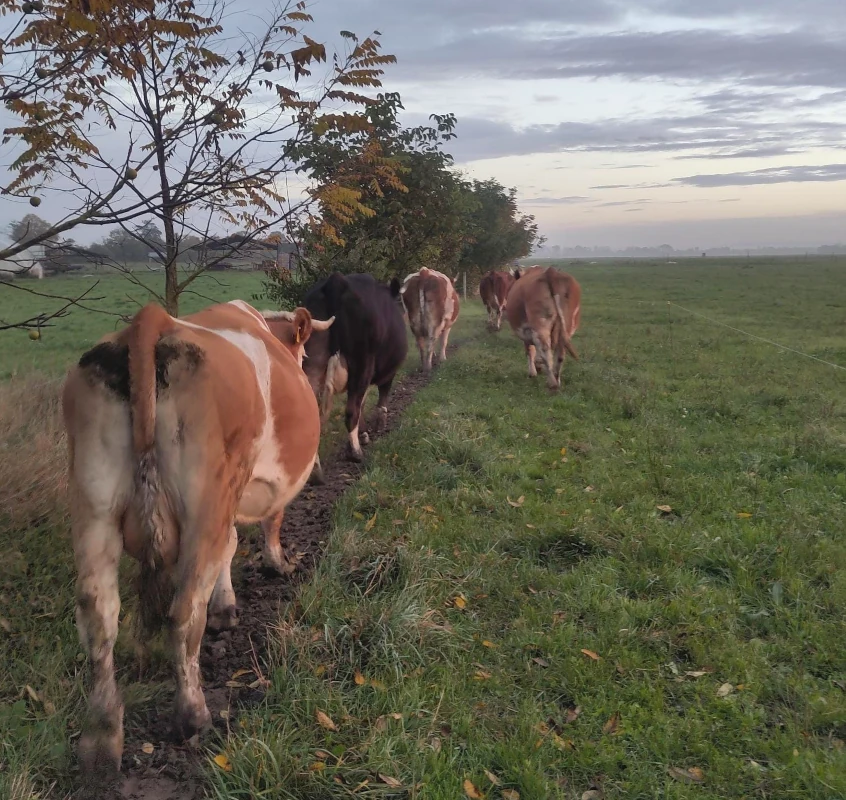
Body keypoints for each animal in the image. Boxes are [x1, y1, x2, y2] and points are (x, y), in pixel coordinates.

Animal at [61, 298, 333, 777]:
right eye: (302, 354)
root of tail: (151, 322)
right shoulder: (261, 487)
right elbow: (264, 527)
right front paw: (275, 566)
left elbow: (229, 547)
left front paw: (226, 606)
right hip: (205, 498)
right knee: (185, 611)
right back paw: (192, 715)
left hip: (92, 501)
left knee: (98, 614)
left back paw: (101, 737)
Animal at [299, 272, 408, 468]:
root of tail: (337, 280)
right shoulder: (388, 373)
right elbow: (379, 402)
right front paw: (376, 427)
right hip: (362, 362)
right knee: (351, 410)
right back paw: (356, 454)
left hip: (313, 362)